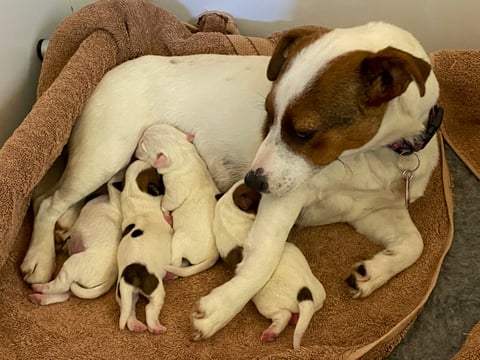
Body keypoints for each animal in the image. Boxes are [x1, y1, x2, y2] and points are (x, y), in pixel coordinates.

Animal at [134, 124, 218, 278]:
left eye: (142, 146)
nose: (135, 146)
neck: (183, 153)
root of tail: (214, 256)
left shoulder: (174, 190)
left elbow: (168, 202)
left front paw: (165, 211)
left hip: (179, 239)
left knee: (177, 262)